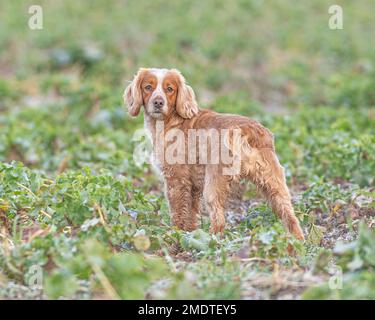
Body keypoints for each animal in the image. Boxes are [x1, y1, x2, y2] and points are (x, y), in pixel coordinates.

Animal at [123, 69, 306, 241]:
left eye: (170, 89)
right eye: (148, 87)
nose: (158, 102)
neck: (172, 120)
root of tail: (247, 131)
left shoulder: (176, 180)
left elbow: (178, 213)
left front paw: (174, 235)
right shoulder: (193, 186)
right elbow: (191, 215)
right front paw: (190, 235)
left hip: (213, 184)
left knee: (219, 219)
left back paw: (212, 241)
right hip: (273, 184)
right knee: (290, 216)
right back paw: (298, 241)